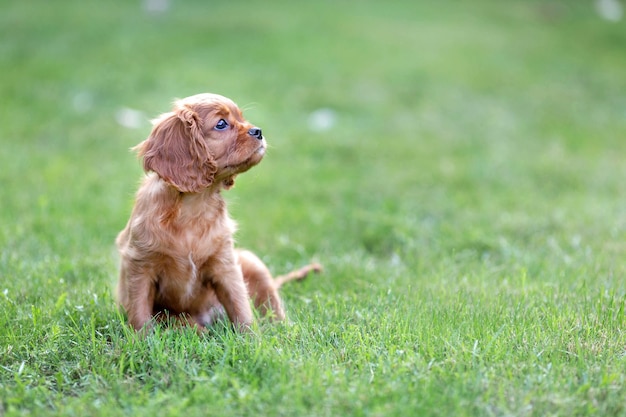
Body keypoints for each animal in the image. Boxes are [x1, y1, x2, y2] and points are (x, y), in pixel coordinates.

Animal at [116, 93, 320, 332]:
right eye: (221, 124)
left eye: (242, 118)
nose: (258, 131)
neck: (194, 207)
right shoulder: (140, 265)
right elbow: (140, 312)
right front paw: (142, 338)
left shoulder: (226, 265)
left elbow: (240, 307)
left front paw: (251, 338)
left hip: (252, 262)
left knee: (272, 308)